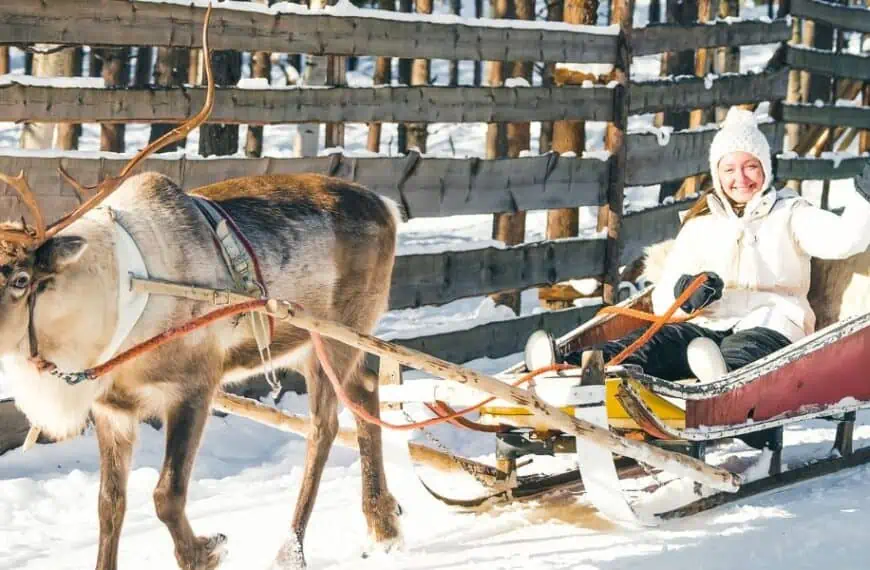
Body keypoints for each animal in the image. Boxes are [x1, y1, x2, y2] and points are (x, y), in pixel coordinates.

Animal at [0, 7, 403, 570]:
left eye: (20, 279)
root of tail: (387, 207)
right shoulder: (112, 409)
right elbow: (109, 506)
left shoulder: (195, 383)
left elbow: (166, 495)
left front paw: (206, 549)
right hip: (314, 342)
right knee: (364, 389)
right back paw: (382, 521)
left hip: (338, 334)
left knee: (324, 424)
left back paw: (293, 545)